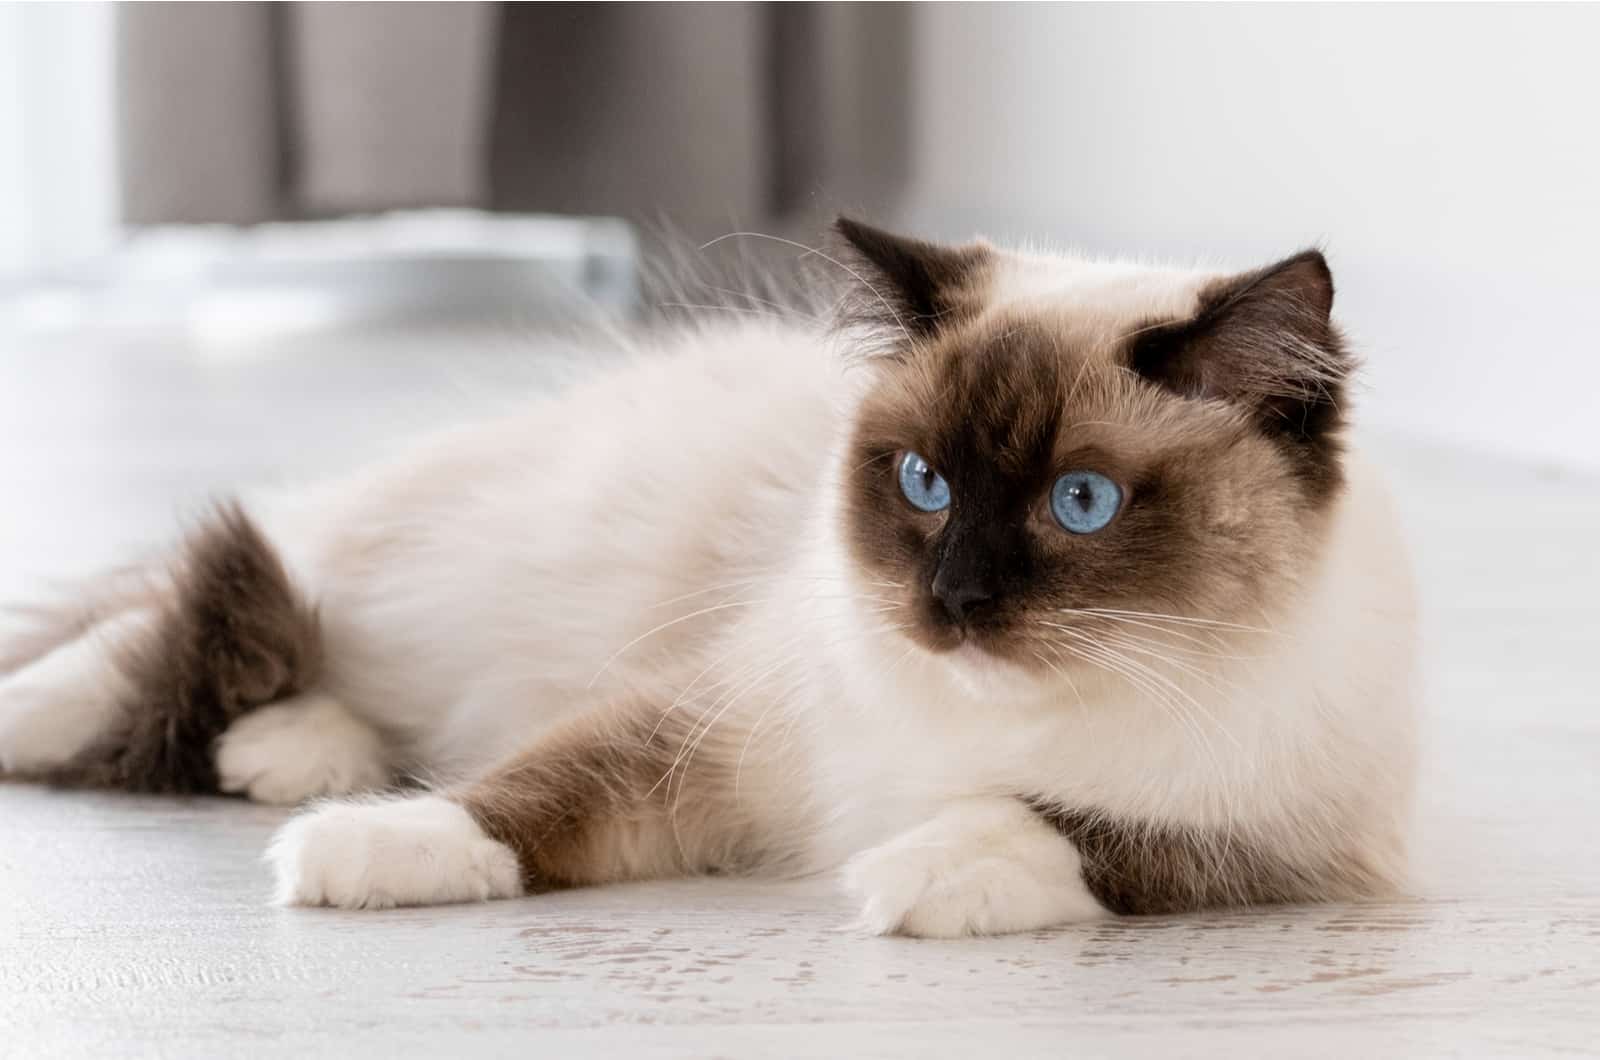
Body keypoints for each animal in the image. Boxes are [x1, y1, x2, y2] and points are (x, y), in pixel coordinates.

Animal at [0, 216, 1420, 941]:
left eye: (1081, 503)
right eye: (924, 484)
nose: (952, 604)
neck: (986, 712)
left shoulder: (1270, 843)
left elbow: (1076, 830)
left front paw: (915, 876)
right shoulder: (705, 728)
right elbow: (533, 788)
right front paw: (378, 850)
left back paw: (286, 754)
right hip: (408, 567)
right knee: (182, 617)